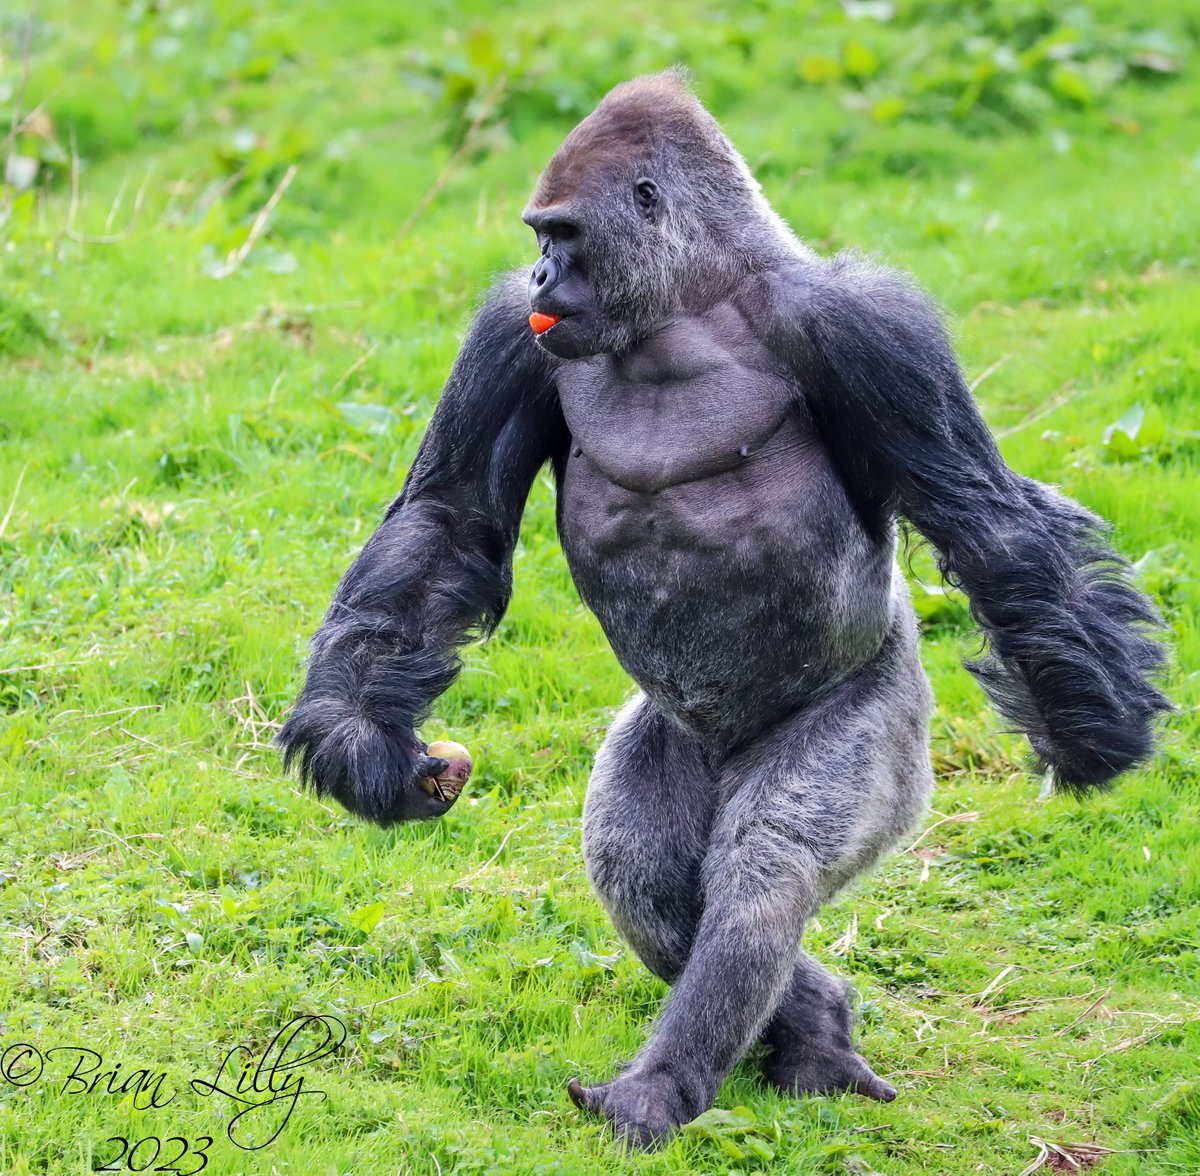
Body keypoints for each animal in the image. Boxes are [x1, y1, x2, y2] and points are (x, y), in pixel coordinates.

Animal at [277, 70, 1167, 1148]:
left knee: (763, 867)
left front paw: (1093, 731)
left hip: (887, 721)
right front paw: (359, 741)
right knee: (648, 879)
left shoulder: (873, 331)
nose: (538, 276)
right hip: (671, 742)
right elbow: (447, 522)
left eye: (562, 234)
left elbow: (988, 525)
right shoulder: (505, 339)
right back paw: (813, 1021)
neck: (690, 304)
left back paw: (669, 1083)